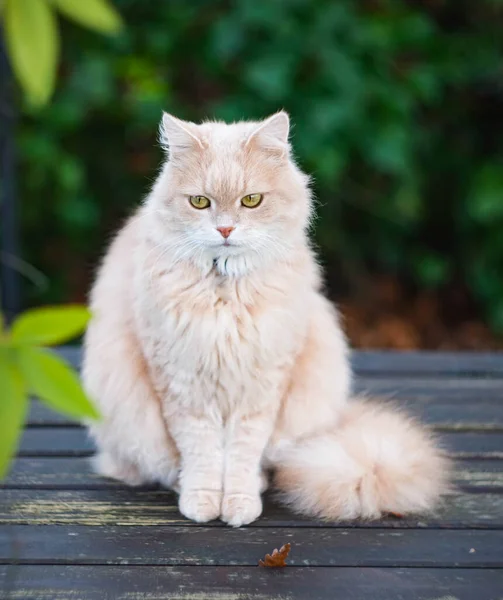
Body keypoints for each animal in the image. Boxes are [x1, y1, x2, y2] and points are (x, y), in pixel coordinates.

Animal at [82, 111, 448, 524]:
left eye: (251, 200)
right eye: (200, 202)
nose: (225, 229)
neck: (225, 289)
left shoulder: (262, 385)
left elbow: (242, 454)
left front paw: (239, 504)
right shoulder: (183, 384)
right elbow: (202, 454)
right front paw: (203, 501)